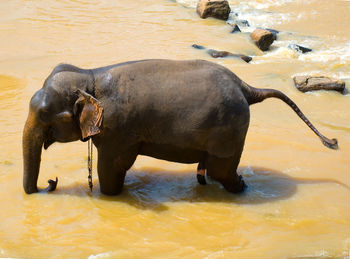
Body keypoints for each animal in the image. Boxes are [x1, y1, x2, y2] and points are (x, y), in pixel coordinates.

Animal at [21, 59, 336, 195]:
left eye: (46, 114)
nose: (51, 182)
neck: (89, 76)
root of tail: (246, 87)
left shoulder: (118, 131)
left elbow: (112, 166)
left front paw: (109, 195)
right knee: (210, 169)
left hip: (229, 129)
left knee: (222, 169)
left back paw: (242, 187)